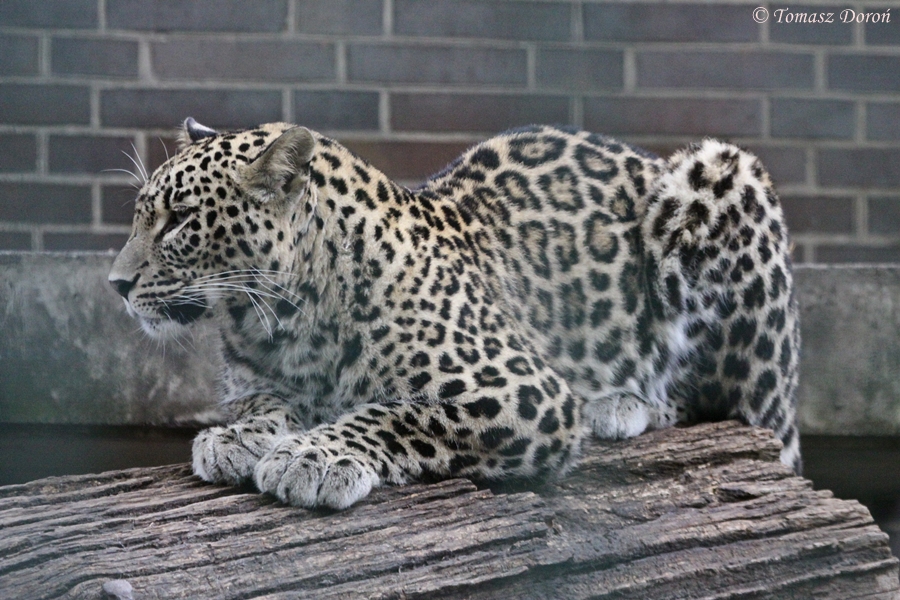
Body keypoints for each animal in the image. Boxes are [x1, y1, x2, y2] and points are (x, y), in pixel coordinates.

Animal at [109, 117, 801, 510]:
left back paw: (622, 404)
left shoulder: (524, 389)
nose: (115, 284)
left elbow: (399, 413)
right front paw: (240, 437)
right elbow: (262, 404)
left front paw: (315, 457)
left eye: (179, 220)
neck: (277, 320)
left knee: (726, 403)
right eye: (143, 215)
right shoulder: (261, 380)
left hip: (718, 173)